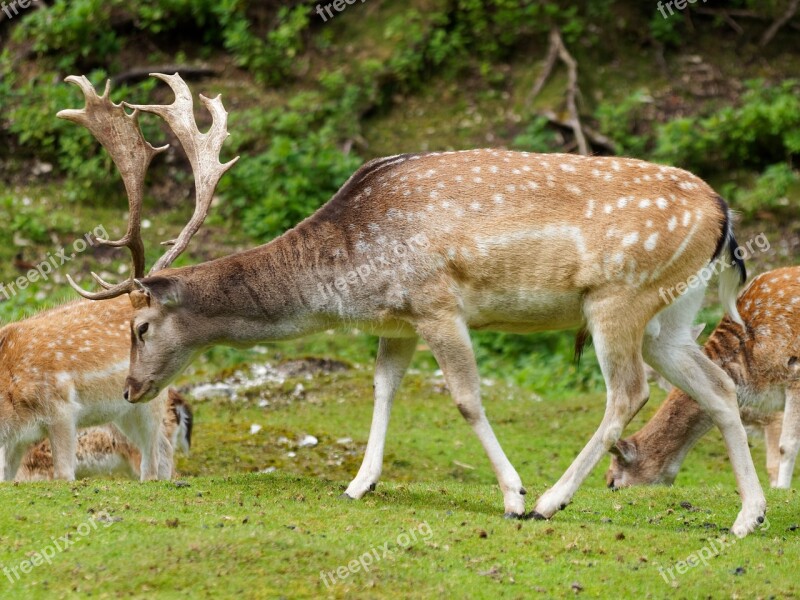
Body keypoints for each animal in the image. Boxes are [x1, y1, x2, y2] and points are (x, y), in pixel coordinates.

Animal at [0, 296, 175, 482]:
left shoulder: (61, 408)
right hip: (124, 414)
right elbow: (5, 475)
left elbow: (63, 474)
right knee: (164, 447)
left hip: (151, 399)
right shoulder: (17, 437)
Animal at [59, 72, 764, 536]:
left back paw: (551, 501)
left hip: (618, 297)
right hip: (672, 314)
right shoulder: (396, 320)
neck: (348, 274)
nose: (129, 389)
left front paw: (512, 495)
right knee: (718, 386)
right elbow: (383, 388)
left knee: (628, 390)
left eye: (139, 326)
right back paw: (747, 517)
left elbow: (466, 398)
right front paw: (357, 483)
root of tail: (723, 214)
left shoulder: (435, 301)